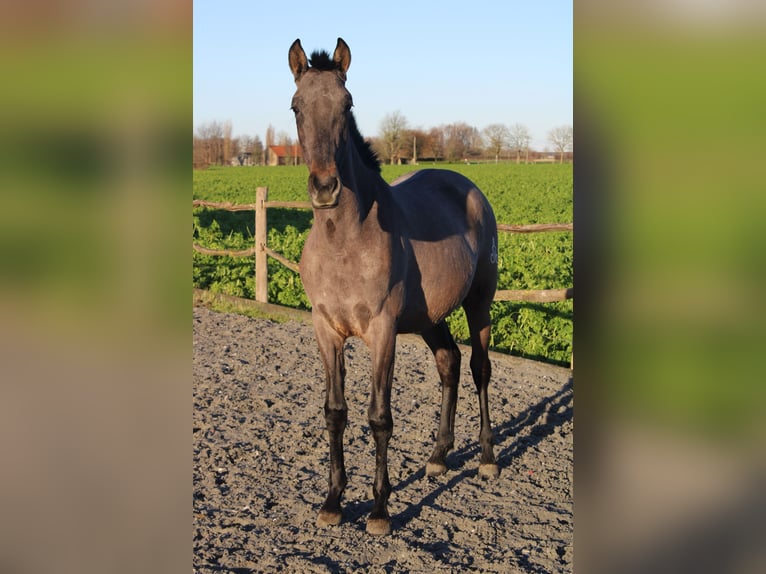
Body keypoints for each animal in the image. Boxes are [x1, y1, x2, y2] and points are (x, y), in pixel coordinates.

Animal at [292, 38, 500, 536]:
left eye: (347, 104)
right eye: (296, 107)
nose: (325, 188)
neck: (346, 240)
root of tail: (467, 186)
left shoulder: (382, 332)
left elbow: (379, 417)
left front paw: (380, 510)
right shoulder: (327, 330)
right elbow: (335, 412)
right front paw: (333, 501)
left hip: (479, 303)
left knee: (480, 368)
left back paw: (486, 458)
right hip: (430, 319)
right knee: (449, 363)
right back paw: (439, 457)